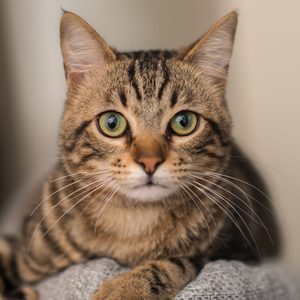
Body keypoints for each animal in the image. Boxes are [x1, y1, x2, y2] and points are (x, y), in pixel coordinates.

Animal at [0, 10, 280, 298]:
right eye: (112, 123)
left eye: (184, 122)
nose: (150, 162)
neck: (134, 223)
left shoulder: (238, 254)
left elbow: (178, 261)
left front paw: (126, 288)